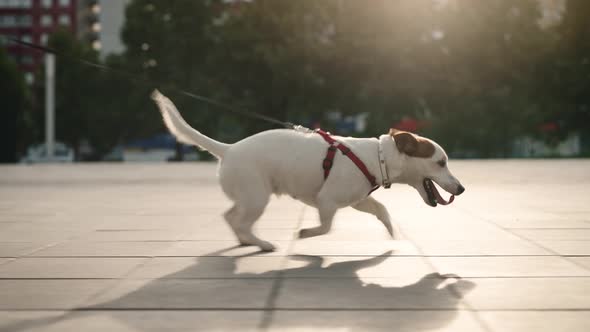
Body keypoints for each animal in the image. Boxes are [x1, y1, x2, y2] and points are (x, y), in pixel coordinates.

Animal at [154, 89, 468, 250]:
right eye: (441, 162)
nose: (462, 189)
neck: (378, 157)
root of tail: (228, 148)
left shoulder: (358, 200)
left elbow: (381, 209)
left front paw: (392, 233)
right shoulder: (327, 201)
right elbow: (326, 226)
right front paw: (305, 234)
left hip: (249, 196)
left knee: (231, 216)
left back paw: (246, 241)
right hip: (257, 197)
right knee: (241, 221)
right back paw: (263, 243)